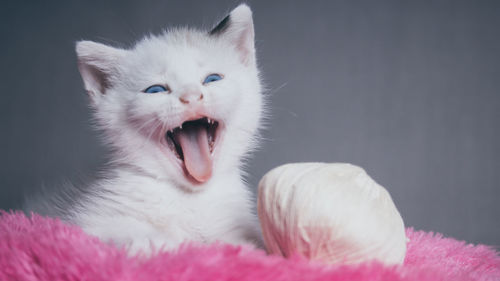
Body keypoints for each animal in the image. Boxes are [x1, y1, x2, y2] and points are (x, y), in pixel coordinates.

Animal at [24, 3, 266, 254]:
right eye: (155, 90)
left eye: (212, 79)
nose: (191, 97)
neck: (190, 198)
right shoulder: (85, 219)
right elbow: (123, 231)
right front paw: (157, 242)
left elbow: (245, 244)